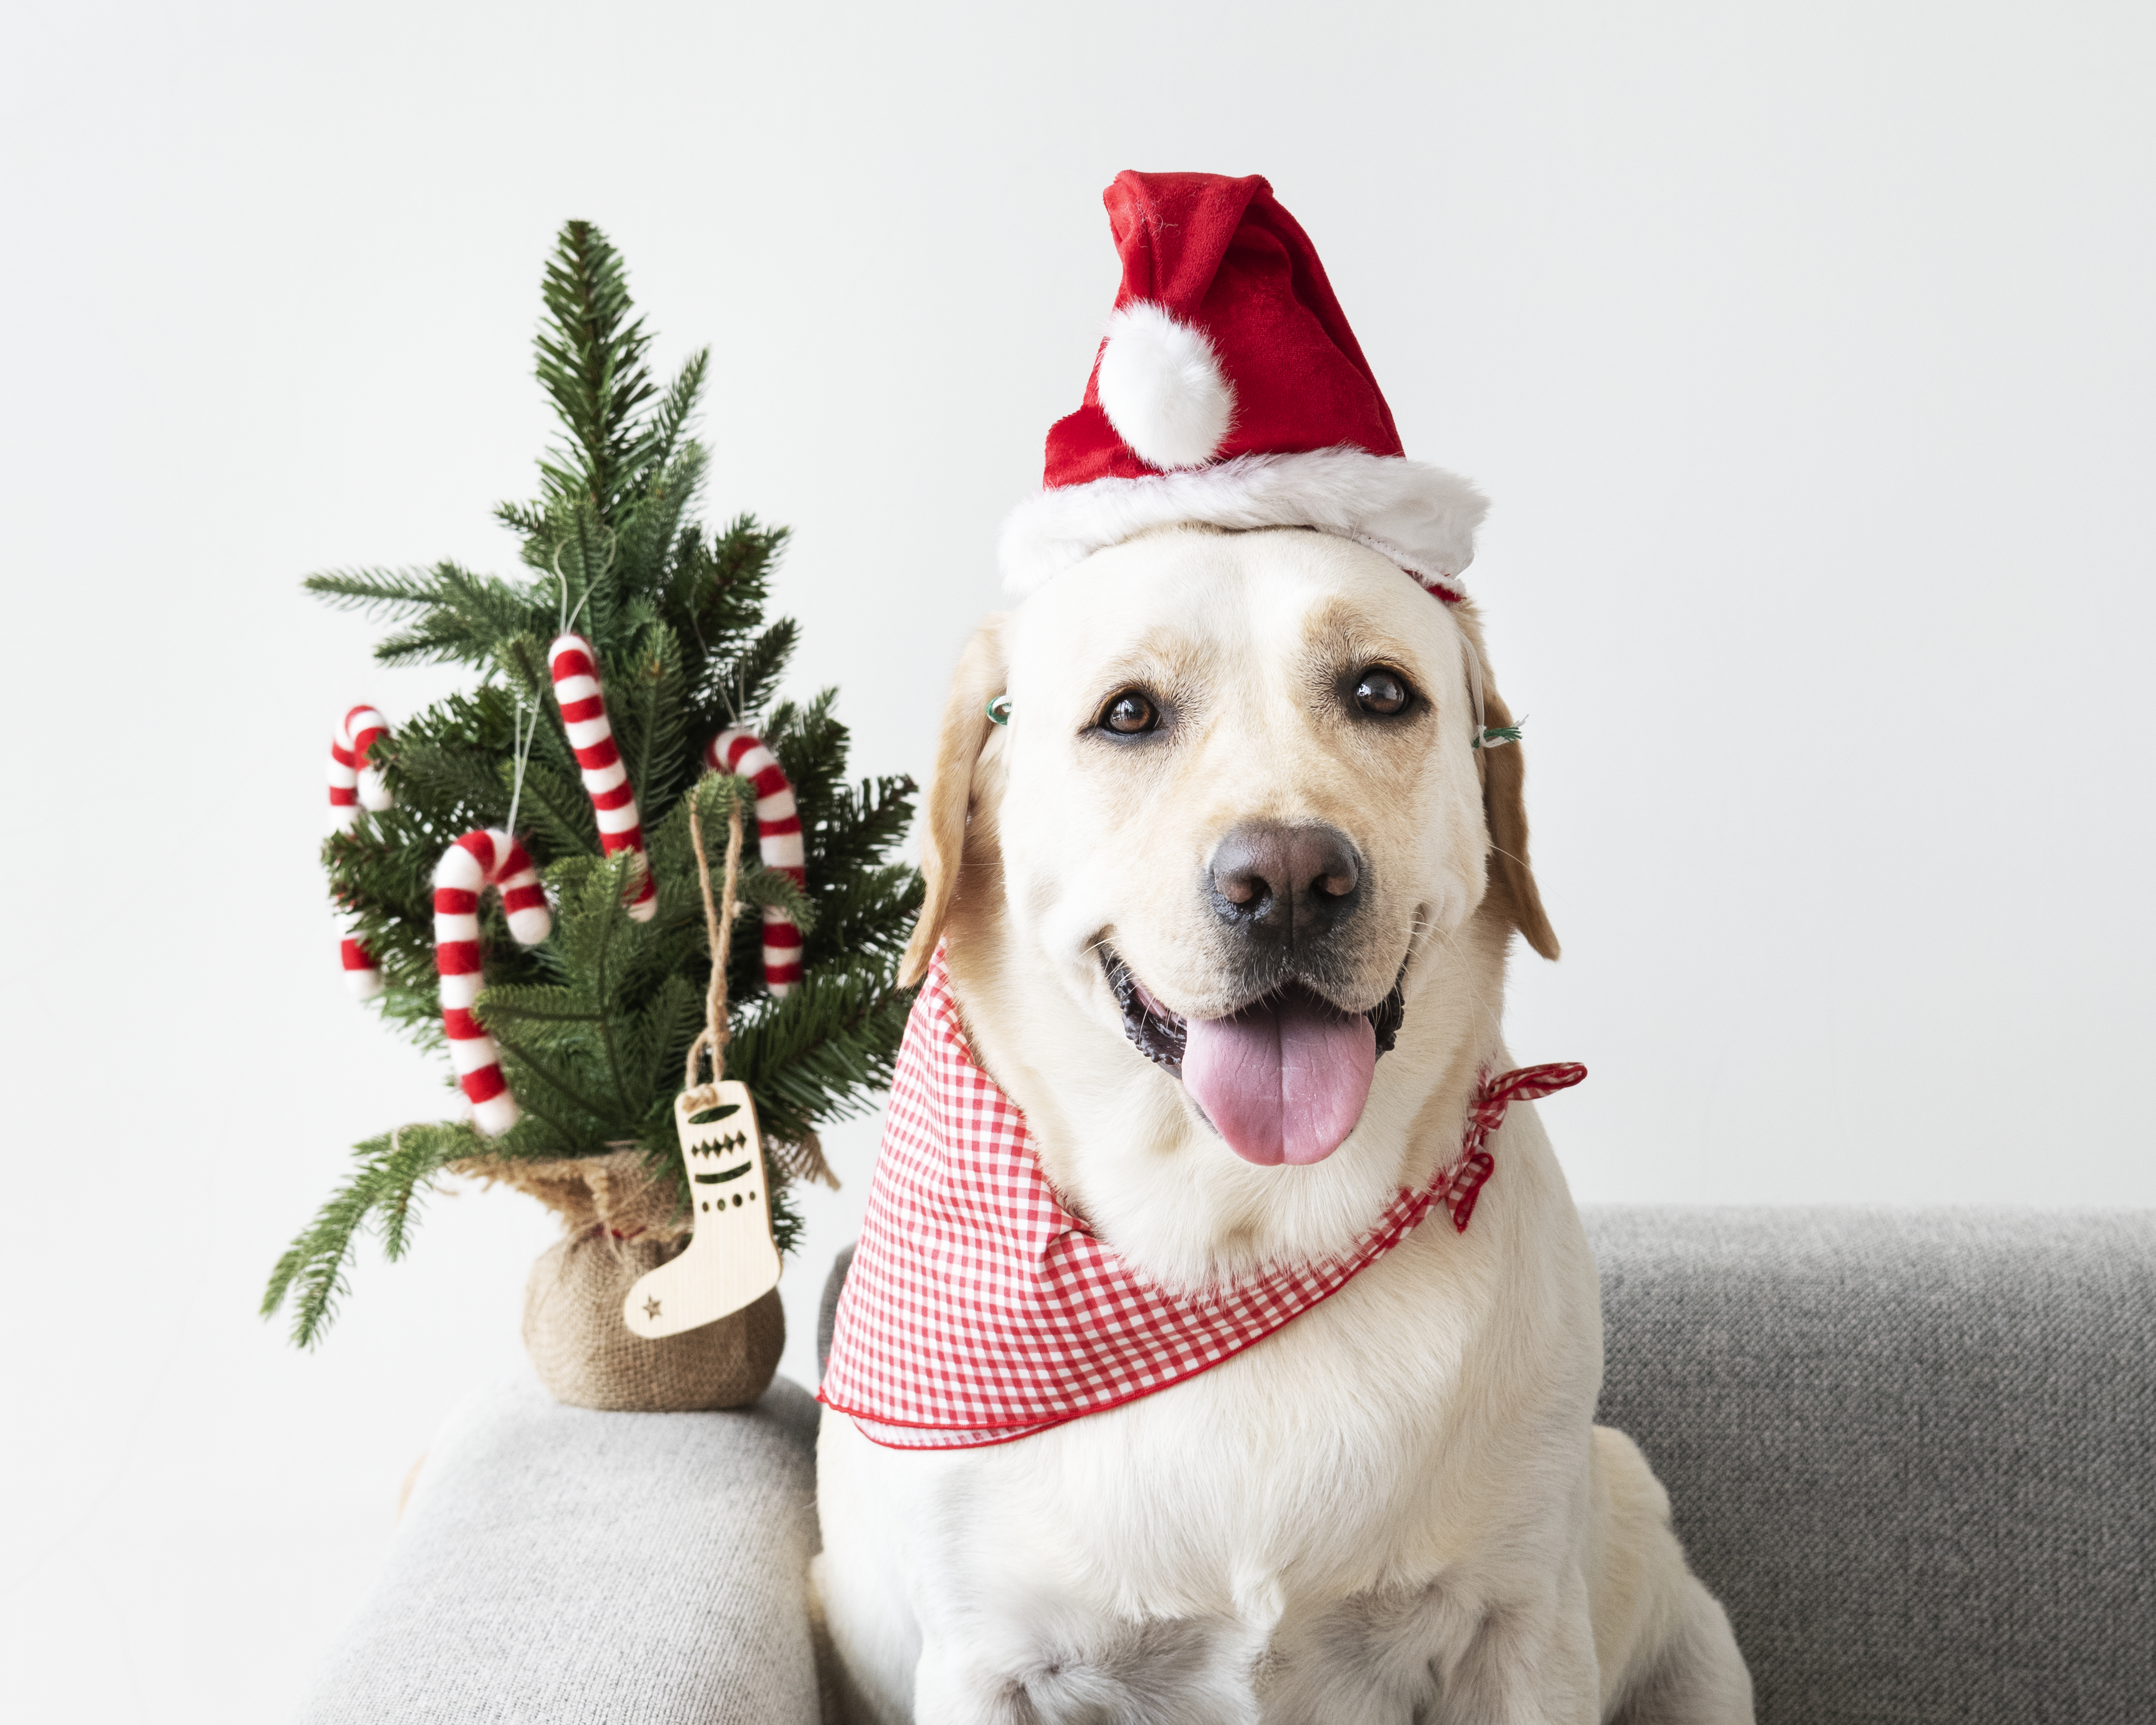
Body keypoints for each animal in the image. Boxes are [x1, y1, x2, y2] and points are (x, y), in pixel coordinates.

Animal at [810, 526, 1751, 1725]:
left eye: (1380, 692)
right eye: (1128, 714)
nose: (1293, 879)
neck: (1243, 1241)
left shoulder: (1519, 1630)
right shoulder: (989, 1663)